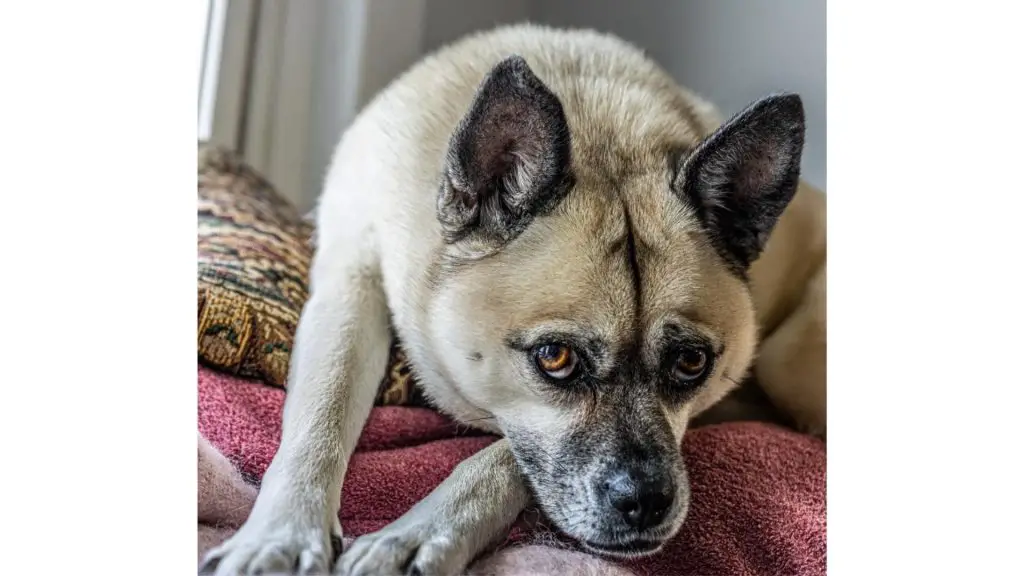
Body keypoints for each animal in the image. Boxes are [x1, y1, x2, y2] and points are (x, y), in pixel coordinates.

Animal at [199, 23, 823, 573]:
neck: (604, 132)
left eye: (692, 362)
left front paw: (418, 535)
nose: (646, 503)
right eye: (556, 358)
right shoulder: (348, 288)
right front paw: (281, 534)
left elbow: (501, 457)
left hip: (789, 361)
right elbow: (319, 414)